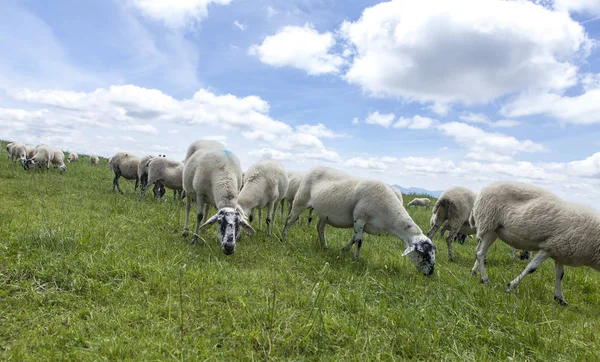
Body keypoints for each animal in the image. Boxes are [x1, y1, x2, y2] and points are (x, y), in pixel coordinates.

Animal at [282, 168, 436, 276]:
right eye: (423, 254)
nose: (430, 274)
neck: (389, 215)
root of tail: (314, 168)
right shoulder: (360, 218)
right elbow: (359, 241)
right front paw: (355, 259)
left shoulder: (364, 224)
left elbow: (354, 238)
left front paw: (344, 250)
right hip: (300, 200)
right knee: (289, 220)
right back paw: (283, 238)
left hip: (324, 213)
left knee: (320, 227)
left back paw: (324, 246)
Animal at [468, 181, 600, 306]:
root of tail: (484, 189)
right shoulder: (548, 248)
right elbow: (531, 268)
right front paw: (511, 286)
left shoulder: (560, 251)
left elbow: (560, 275)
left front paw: (560, 299)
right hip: (488, 223)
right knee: (480, 253)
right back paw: (485, 279)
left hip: (494, 230)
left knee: (478, 251)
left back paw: (474, 272)